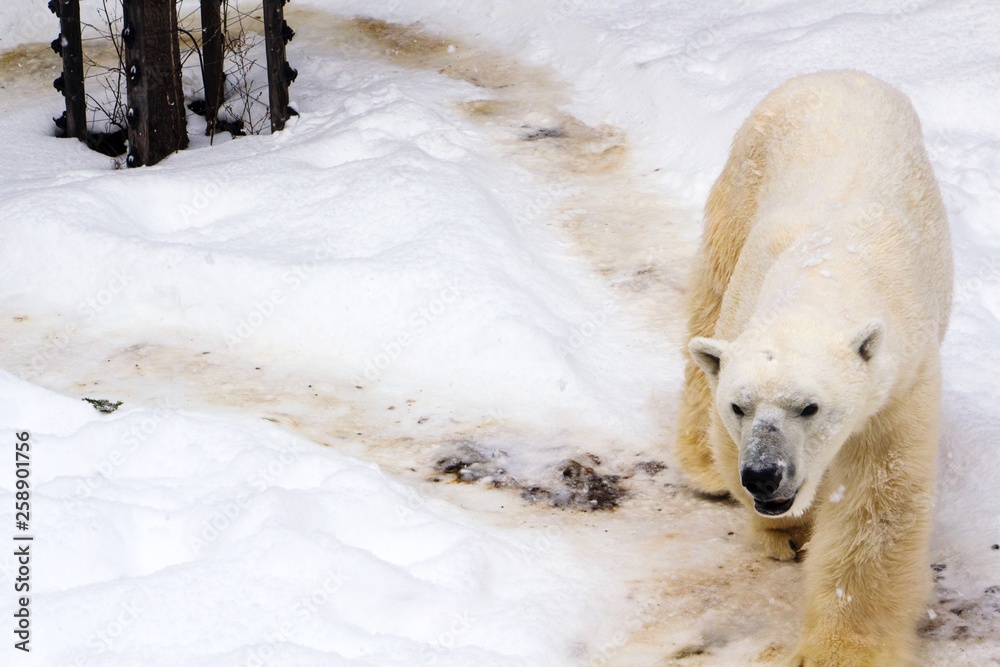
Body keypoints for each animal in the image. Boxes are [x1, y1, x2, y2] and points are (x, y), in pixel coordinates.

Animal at [675, 70, 952, 666]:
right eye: (739, 405)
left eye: (810, 407)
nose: (763, 474)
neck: (827, 267)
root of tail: (837, 73)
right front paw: (787, 531)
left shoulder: (896, 387)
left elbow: (875, 503)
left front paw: (842, 649)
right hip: (745, 173)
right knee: (708, 295)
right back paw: (700, 464)